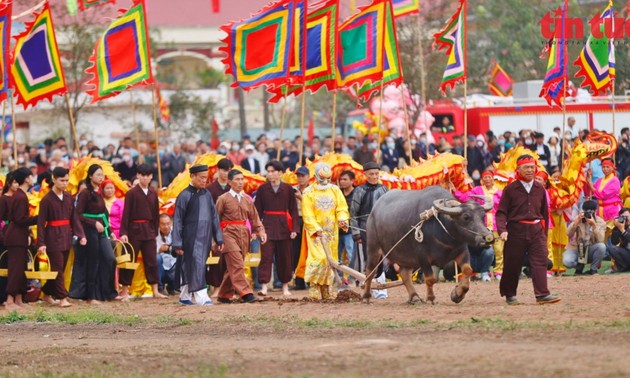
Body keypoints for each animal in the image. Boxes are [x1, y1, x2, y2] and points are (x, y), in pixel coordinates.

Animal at [362, 185, 496, 304]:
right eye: (466, 217)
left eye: (483, 216)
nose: (487, 238)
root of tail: (374, 210)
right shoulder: (422, 257)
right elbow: (430, 279)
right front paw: (431, 298)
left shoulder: (462, 251)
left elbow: (468, 270)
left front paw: (457, 294)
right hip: (373, 248)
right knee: (370, 271)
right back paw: (366, 296)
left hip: (405, 256)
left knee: (404, 274)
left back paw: (415, 297)